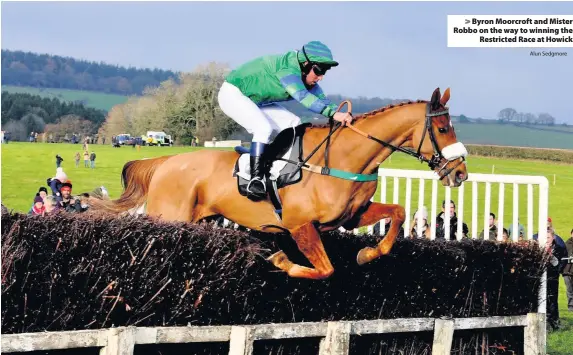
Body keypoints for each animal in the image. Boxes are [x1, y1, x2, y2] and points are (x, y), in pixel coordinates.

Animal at [94, 87, 466, 280]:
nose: (461, 172)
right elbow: (325, 269)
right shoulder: (300, 225)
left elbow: (398, 213)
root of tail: (166, 161)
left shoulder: (352, 216)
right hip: (171, 217)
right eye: (443, 128)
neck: (344, 159)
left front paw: (367, 253)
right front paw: (281, 261)